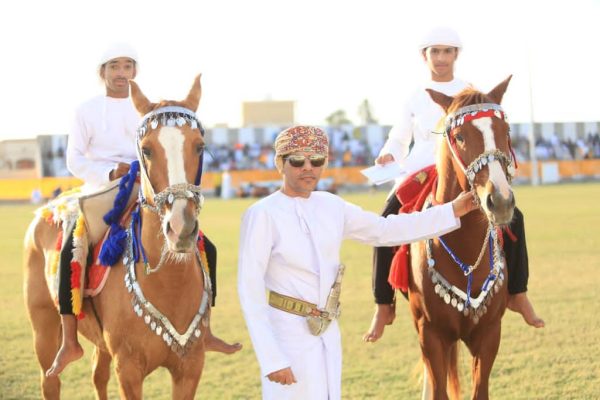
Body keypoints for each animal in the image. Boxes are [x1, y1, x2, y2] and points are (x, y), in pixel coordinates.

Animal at [24, 76, 211, 399]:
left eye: (199, 147)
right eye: (146, 150)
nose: (181, 228)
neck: (168, 283)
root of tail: (45, 211)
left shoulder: (190, 368)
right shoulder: (129, 370)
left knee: (97, 375)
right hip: (43, 329)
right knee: (50, 381)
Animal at [408, 76, 516, 400]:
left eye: (506, 131)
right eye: (459, 136)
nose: (501, 201)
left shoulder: (489, 334)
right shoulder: (431, 335)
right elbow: (439, 389)